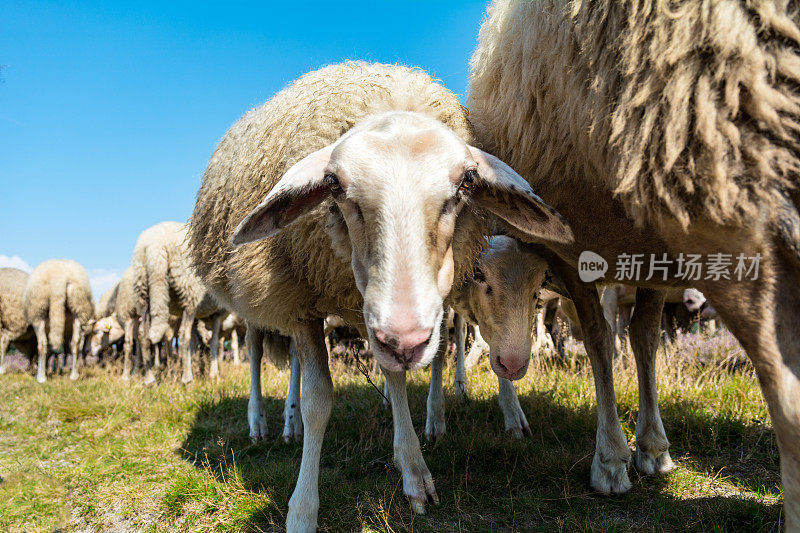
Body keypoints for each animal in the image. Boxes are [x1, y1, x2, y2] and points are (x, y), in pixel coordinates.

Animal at [188, 62, 576, 528]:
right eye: (332, 183)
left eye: (467, 182)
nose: (405, 340)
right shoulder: (303, 302)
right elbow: (318, 399)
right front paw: (302, 508)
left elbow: (396, 378)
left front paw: (412, 468)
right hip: (265, 295)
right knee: (257, 350)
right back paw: (262, 422)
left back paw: (292, 422)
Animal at [468, 1, 800, 524]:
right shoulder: (570, 251)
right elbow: (601, 342)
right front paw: (610, 459)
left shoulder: (657, 262)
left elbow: (644, 341)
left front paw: (653, 447)